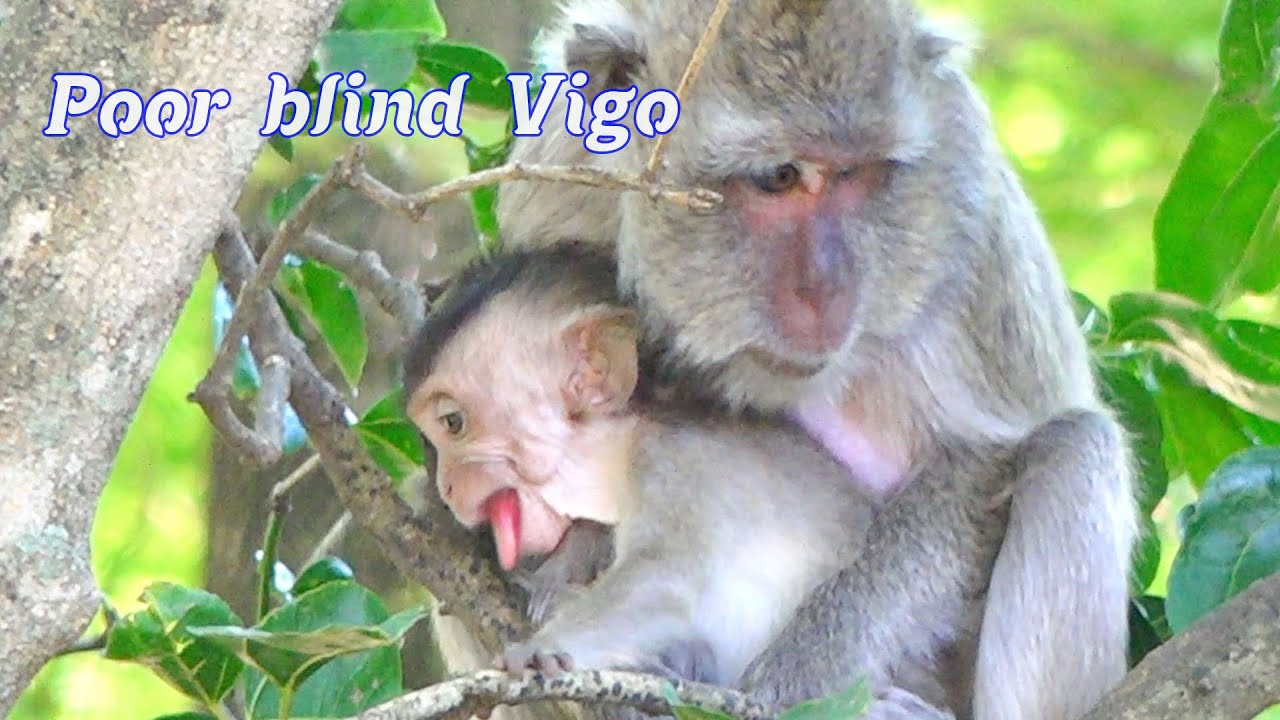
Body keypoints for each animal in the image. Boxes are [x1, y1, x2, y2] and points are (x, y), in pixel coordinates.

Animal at [400, 242, 954, 717]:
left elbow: (663, 577)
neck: (624, 442)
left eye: (453, 423)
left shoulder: (671, 463)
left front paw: (543, 646)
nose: (446, 483)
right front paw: (561, 570)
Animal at [495, 2, 1138, 719]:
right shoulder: (552, 188)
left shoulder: (960, 218)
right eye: (779, 176)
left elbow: (981, 455)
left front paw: (799, 679)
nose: (828, 288)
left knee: (1074, 448)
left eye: (856, 174)